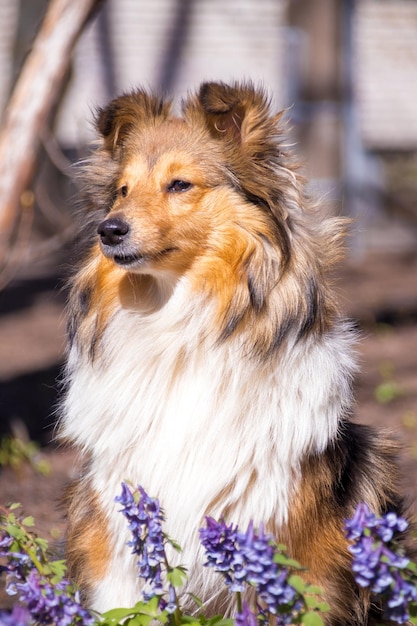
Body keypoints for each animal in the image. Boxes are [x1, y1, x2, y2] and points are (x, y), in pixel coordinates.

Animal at [60, 80, 408, 620]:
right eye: (122, 190)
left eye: (180, 185)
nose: (109, 230)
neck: (177, 321)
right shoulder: (115, 524)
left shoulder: (277, 519)